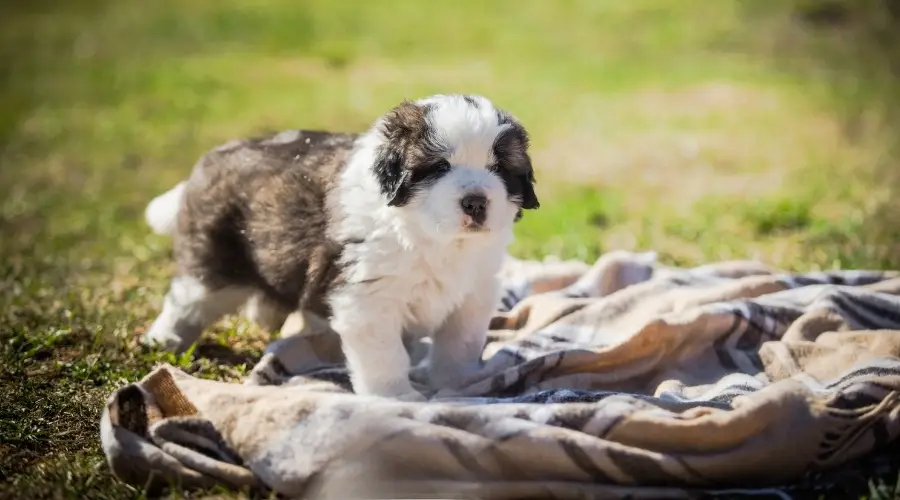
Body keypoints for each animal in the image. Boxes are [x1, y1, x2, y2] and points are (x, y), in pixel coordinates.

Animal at [142, 94, 536, 398]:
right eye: (439, 167)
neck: (435, 241)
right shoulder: (369, 298)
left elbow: (459, 344)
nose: (476, 202)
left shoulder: (473, 293)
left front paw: (456, 383)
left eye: (499, 169)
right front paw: (396, 397)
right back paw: (163, 340)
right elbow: (386, 355)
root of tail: (208, 162)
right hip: (212, 264)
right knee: (186, 302)